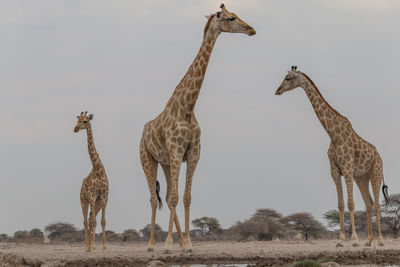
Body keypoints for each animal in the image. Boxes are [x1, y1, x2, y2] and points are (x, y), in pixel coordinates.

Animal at [139, 4, 255, 255]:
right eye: (231, 18)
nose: (251, 29)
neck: (187, 107)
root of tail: (143, 131)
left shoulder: (192, 153)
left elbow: (186, 197)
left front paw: (189, 244)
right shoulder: (176, 151)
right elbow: (174, 197)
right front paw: (168, 245)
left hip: (165, 162)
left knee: (168, 195)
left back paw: (180, 242)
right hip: (147, 159)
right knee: (153, 198)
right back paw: (152, 244)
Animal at [276, 67, 388, 249]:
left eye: (288, 78)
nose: (277, 90)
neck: (333, 135)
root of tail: (379, 155)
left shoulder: (347, 169)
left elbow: (350, 204)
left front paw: (354, 240)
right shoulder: (335, 171)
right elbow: (341, 204)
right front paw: (341, 240)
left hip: (375, 172)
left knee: (377, 204)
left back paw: (380, 241)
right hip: (361, 177)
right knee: (369, 203)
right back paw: (369, 241)